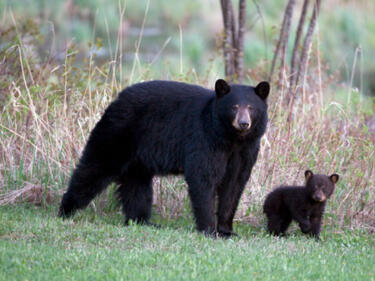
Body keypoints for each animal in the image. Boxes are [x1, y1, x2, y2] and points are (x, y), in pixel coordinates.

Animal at [59, 79, 270, 236]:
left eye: (251, 107)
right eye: (234, 107)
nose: (243, 123)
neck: (231, 139)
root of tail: (117, 99)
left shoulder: (246, 151)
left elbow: (234, 185)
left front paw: (227, 230)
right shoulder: (205, 139)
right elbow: (203, 177)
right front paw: (209, 229)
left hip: (138, 157)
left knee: (137, 185)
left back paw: (142, 221)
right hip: (118, 134)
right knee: (95, 167)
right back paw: (66, 210)